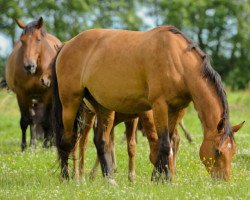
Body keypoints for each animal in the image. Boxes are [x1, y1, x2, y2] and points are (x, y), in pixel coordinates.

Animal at [5, 17, 61, 151]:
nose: (29, 66)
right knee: (33, 120)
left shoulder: (47, 95)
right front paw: (25, 147)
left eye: (38, 39)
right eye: (22, 41)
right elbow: (26, 120)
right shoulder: (22, 94)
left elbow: (47, 121)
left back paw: (51, 144)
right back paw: (33, 144)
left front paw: (46, 146)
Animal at [51, 26, 244, 183]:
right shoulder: (159, 106)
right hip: (70, 103)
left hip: (102, 107)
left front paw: (158, 176)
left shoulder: (175, 109)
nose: (224, 180)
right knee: (68, 140)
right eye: (218, 151)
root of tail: (66, 45)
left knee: (101, 142)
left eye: (233, 151)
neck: (177, 61)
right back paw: (66, 177)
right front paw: (165, 179)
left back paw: (109, 180)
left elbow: (168, 143)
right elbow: (165, 144)